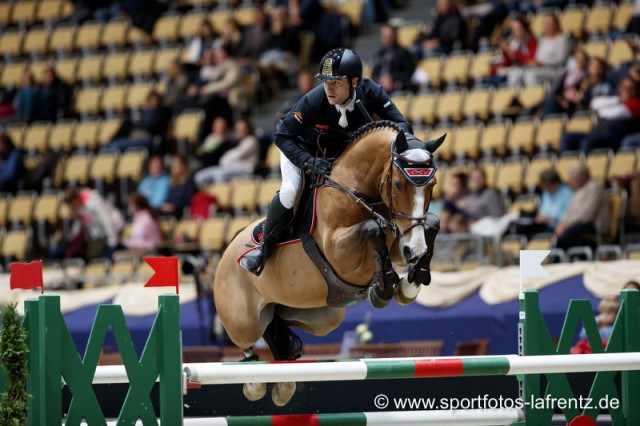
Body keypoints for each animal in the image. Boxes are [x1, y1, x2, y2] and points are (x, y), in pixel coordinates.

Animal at [212, 120, 442, 406]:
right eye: (399, 185)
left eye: (432, 184)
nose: (415, 250)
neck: (359, 189)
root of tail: (228, 248)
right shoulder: (338, 251)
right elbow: (371, 228)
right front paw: (385, 286)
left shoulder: (401, 237)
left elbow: (431, 223)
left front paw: (409, 284)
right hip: (243, 322)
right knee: (248, 342)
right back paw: (254, 382)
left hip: (321, 316)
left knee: (277, 329)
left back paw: (284, 383)